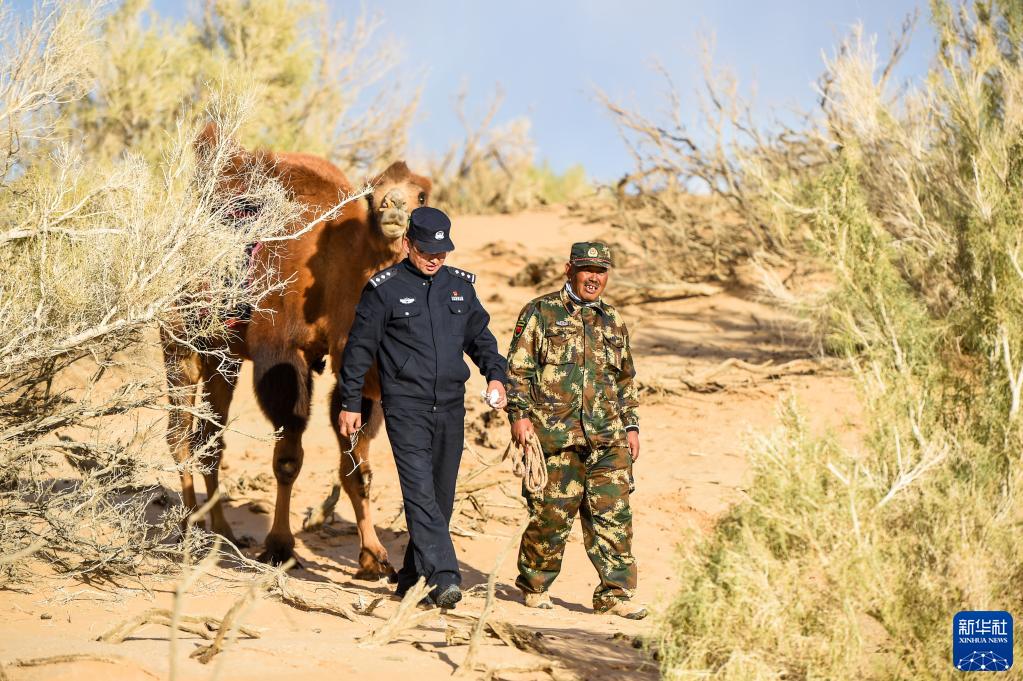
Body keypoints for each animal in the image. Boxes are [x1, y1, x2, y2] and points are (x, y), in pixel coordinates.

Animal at [165, 130, 429, 572]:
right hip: (179, 339)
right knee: (180, 435)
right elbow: (287, 458)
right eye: (373, 192)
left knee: (209, 437)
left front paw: (373, 556)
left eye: (422, 194)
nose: (393, 207)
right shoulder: (282, 354)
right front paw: (279, 546)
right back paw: (187, 530)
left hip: (225, 356)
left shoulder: (353, 370)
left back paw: (221, 531)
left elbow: (358, 466)